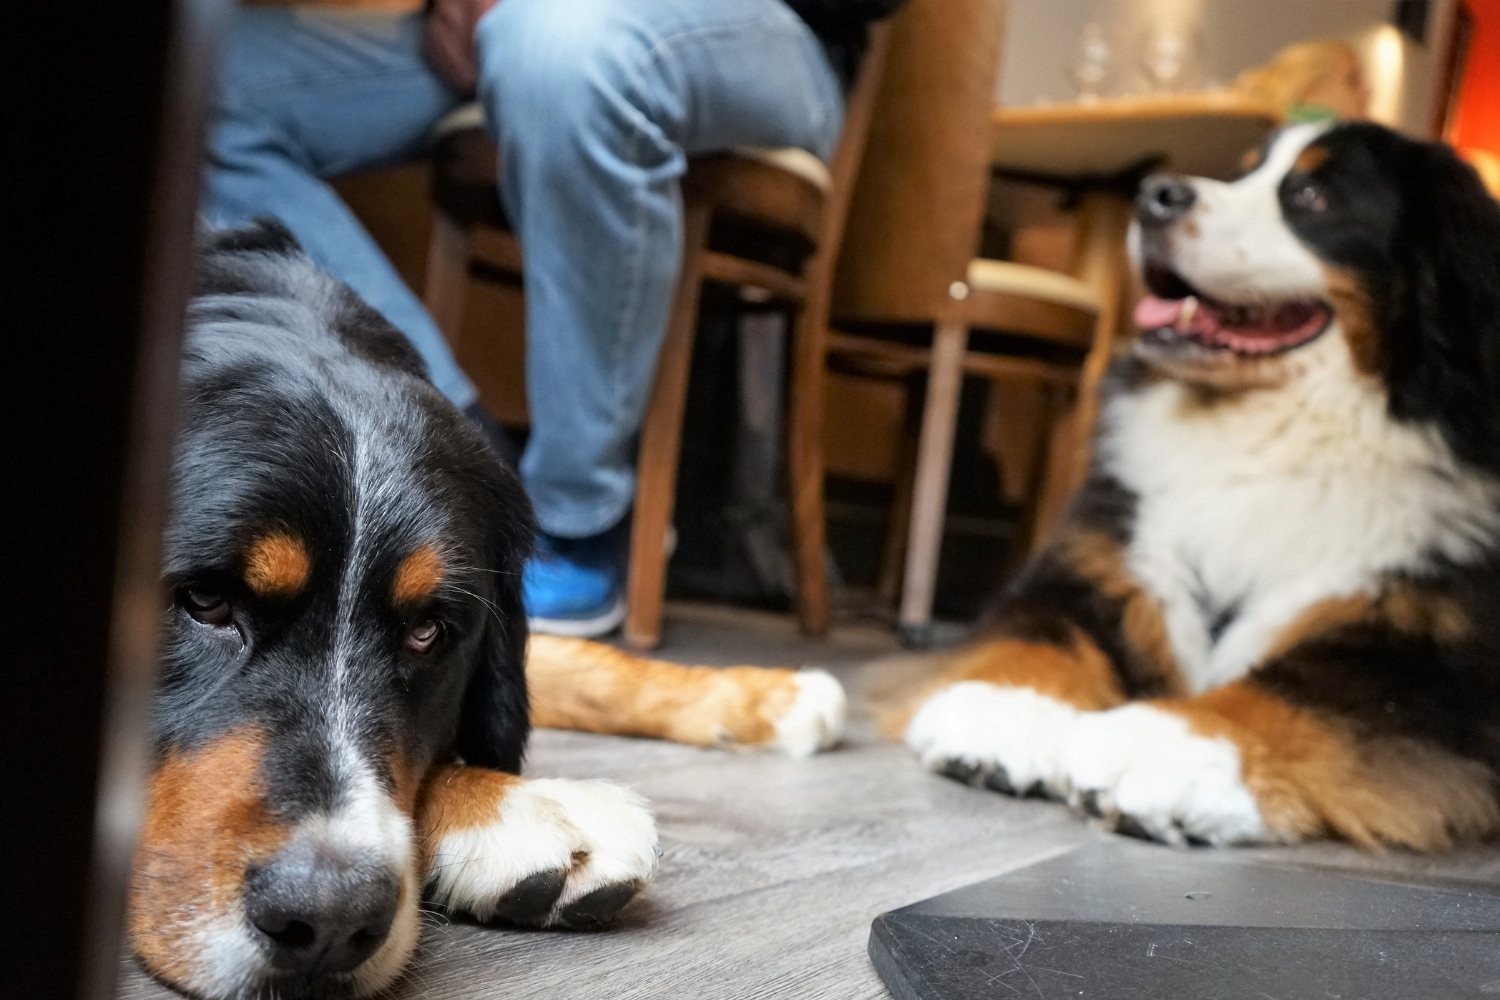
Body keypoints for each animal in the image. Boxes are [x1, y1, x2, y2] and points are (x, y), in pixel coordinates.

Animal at [132, 224, 846, 1000]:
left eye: (427, 633)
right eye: (205, 600)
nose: (327, 919)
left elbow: (575, 664)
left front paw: (765, 694)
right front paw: (514, 805)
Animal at [894, 119, 1494, 851]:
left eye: (1314, 196)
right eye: (1241, 173)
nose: (1156, 195)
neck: (1262, 438)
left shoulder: (1436, 651)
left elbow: (1309, 689)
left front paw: (1171, 743)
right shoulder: (1108, 558)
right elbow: (1042, 628)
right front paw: (1006, 708)